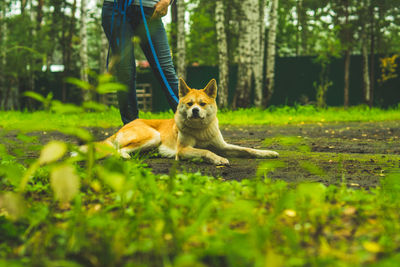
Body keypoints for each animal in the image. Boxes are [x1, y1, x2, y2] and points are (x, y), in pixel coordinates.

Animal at [92, 78, 278, 165]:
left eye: (202, 104)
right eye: (189, 104)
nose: (195, 110)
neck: (201, 130)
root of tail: (128, 124)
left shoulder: (223, 146)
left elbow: (247, 149)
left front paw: (267, 153)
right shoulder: (182, 150)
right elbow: (206, 151)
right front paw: (218, 159)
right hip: (154, 136)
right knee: (117, 150)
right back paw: (125, 156)